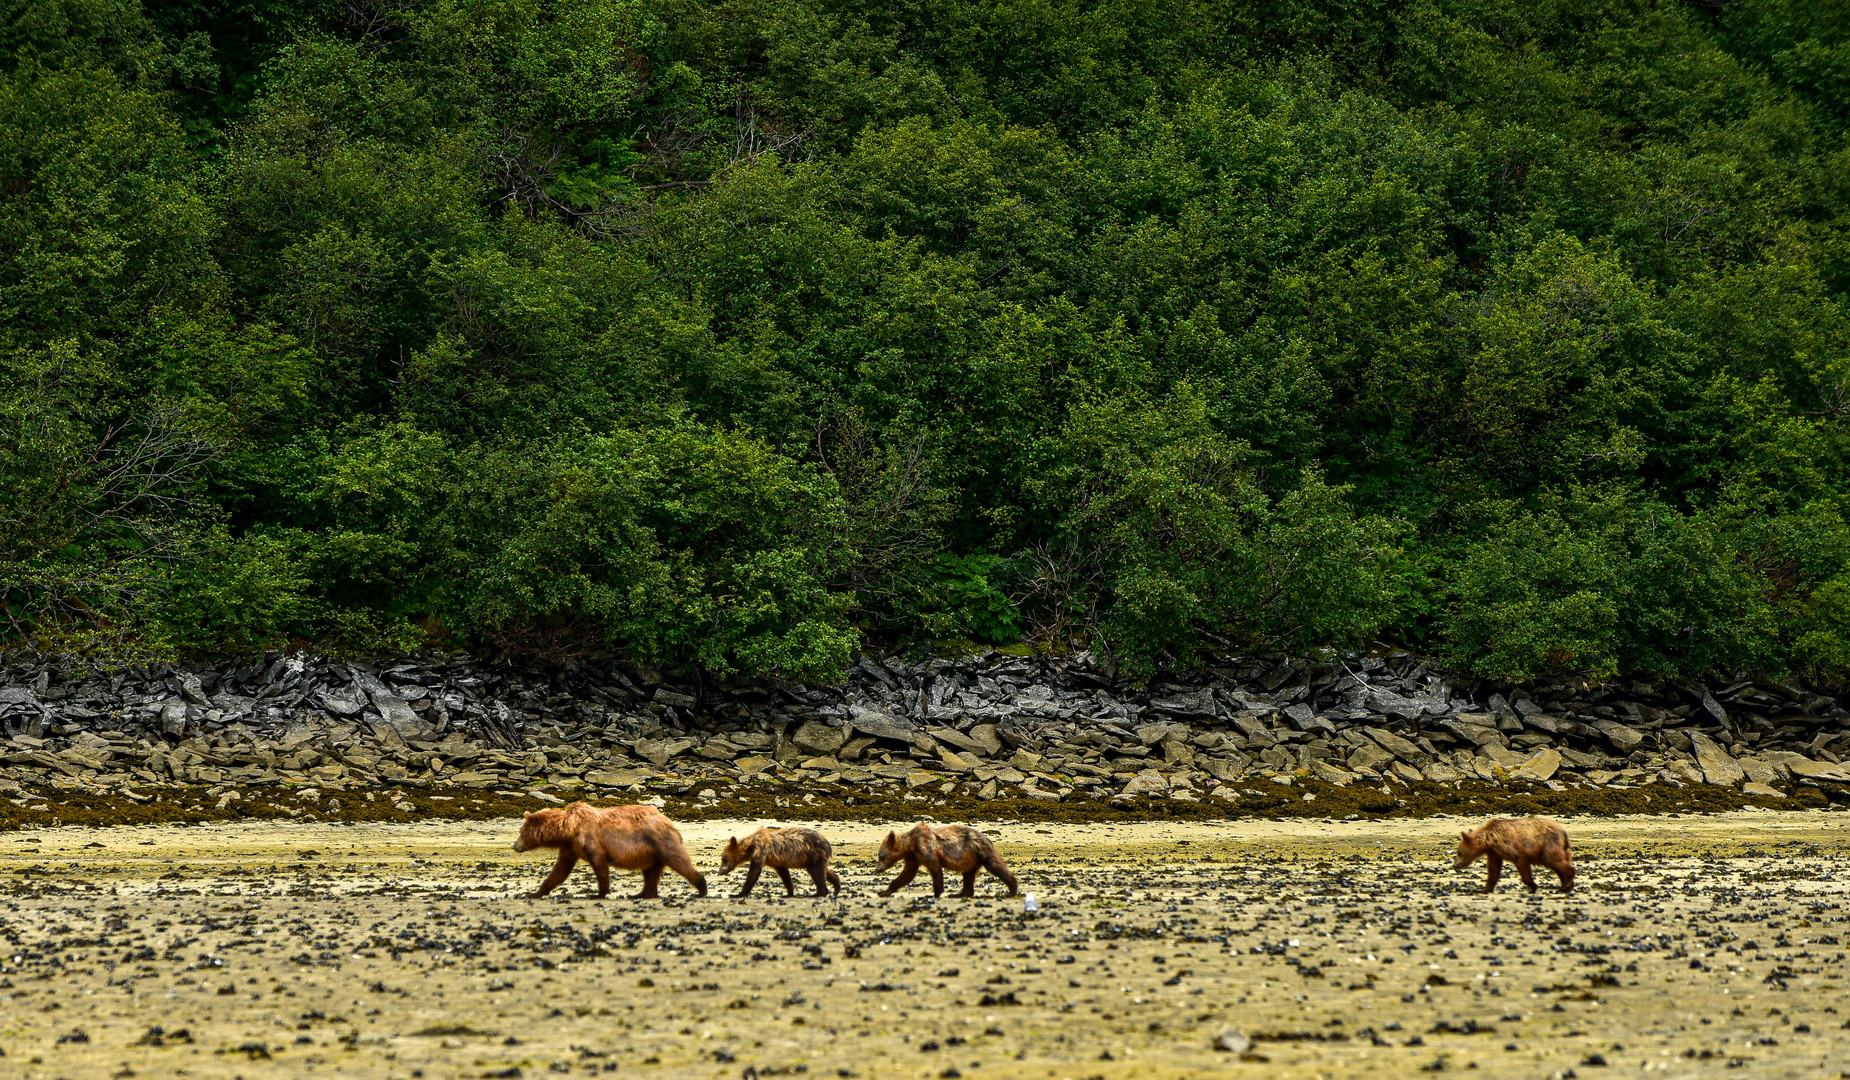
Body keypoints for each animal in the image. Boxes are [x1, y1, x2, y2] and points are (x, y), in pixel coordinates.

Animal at [514, 806, 706, 898]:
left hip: (660, 841)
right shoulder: (570, 847)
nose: (515, 846)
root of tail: (670, 823)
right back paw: (641, 894)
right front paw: (535, 892)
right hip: (650, 852)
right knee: (650, 873)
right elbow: (559, 871)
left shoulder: (589, 838)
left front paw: (598, 894)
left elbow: (599, 865)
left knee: (677, 860)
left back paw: (701, 888)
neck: (568, 829)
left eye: (521, 831)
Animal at [876, 821, 1021, 898]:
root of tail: (988, 839)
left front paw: (936, 893)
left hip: (980, 852)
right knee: (968, 875)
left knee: (995, 866)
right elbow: (907, 874)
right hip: (970, 859)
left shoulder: (925, 847)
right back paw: (961, 894)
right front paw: (885, 891)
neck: (911, 844)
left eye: (881, 856)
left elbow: (935, 869)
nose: (877, 869)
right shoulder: (913, 856)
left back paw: (1012, 890)